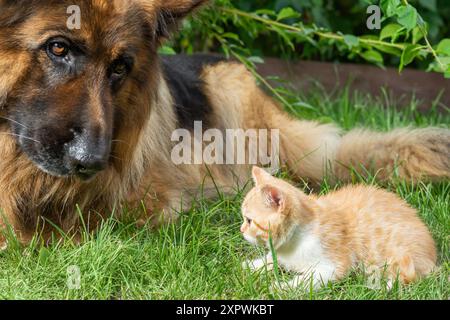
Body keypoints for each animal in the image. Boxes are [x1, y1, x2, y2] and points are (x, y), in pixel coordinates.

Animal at [241, 168, 438, 290]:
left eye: (249, 221)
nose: (241, 230)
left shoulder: (332, 266)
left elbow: (308, 280)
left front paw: (281, 287)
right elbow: (272, 259)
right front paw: (252, 265)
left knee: (407, 278)